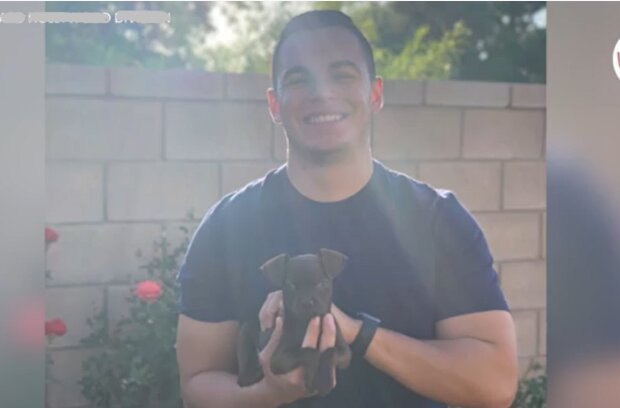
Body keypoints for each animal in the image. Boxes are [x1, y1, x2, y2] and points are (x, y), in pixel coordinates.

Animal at [237, 248, 352, 396]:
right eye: (291, 285)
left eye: (322, 283)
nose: (307, 302)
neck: (305, 323)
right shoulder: (277, 360)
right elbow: (310, 352)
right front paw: (312, 377)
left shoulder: (345, 353)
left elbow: (330, 352)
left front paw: (324, 381)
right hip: (247, 330)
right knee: (245, 351)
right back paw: (249, 375)